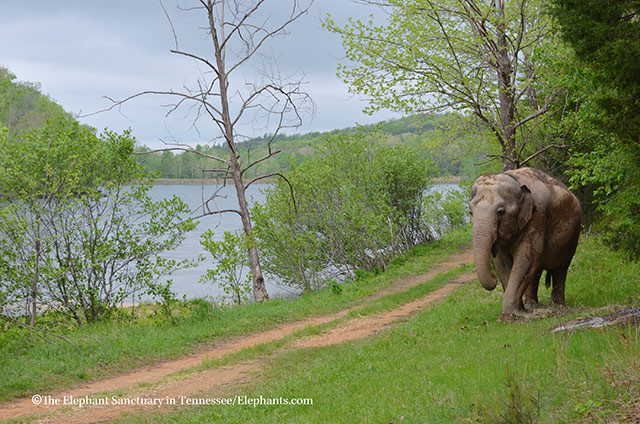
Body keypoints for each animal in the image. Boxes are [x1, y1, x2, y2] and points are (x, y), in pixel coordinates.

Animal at [468, 167, 584, 320]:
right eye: (470, 212)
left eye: (500, 212)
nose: (493, 278)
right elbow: (503, 265)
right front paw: (517, 312)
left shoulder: (538, 216)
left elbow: (525, 260)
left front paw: (507, 318)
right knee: (536, 272)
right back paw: (532, 306)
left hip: (573, 234)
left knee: (560, 269)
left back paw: (557, 306)